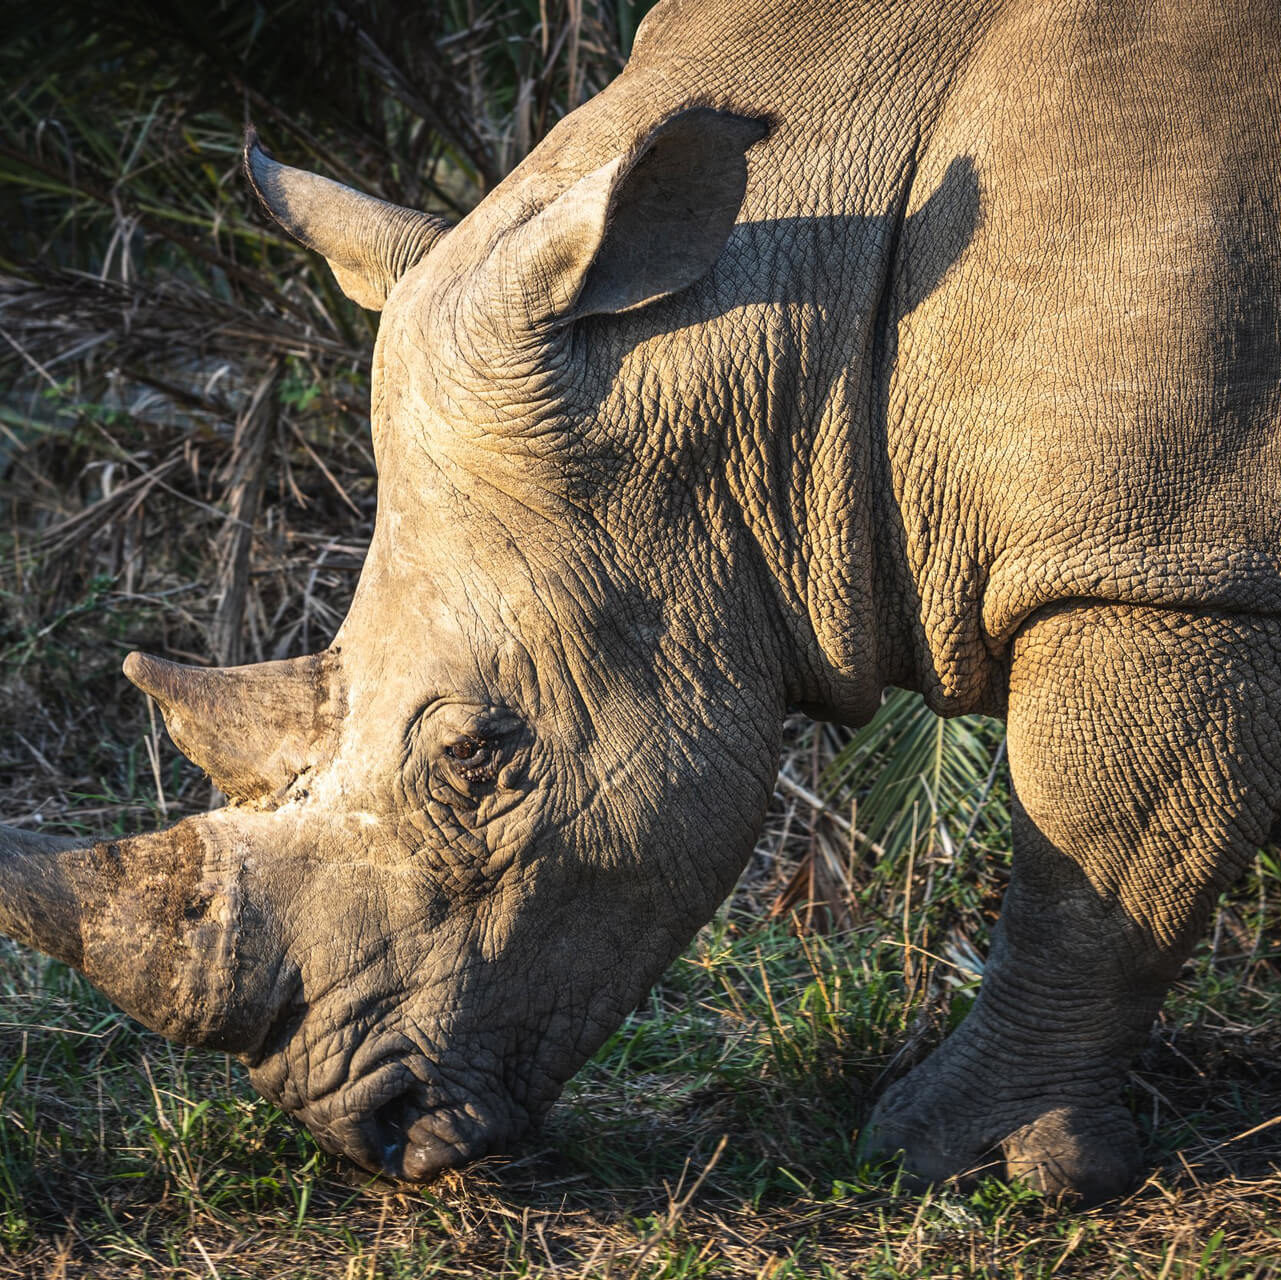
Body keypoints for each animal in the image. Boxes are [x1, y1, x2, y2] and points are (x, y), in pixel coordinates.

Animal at [2, 0, 1281, 1199]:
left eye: (478, 754)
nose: (355, 1128)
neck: (786, 334)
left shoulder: (1159, 565)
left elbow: (1092, 857)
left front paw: (959, 1158)